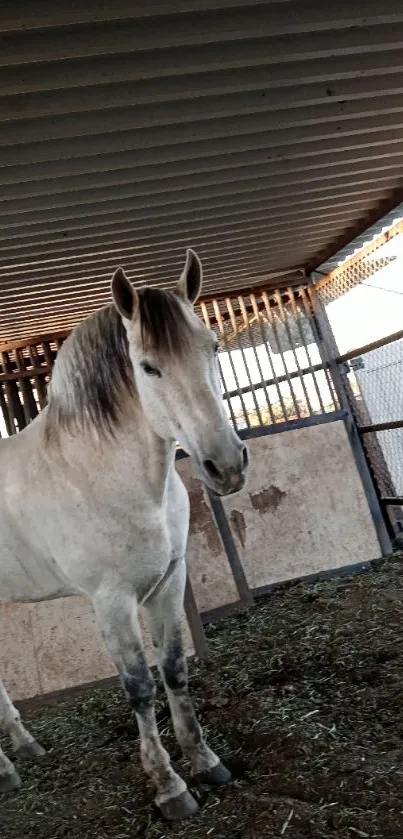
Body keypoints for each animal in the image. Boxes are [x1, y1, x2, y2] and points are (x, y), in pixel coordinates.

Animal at [0, 249, 249, 820]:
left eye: (213, 347)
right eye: (148, 367)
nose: (225, 466)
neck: (98, 471)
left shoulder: (169, 582)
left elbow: (174, 669)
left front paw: (206, 762)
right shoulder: (111, 602)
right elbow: (139, 688)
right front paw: (169, 788)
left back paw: (24, 750)